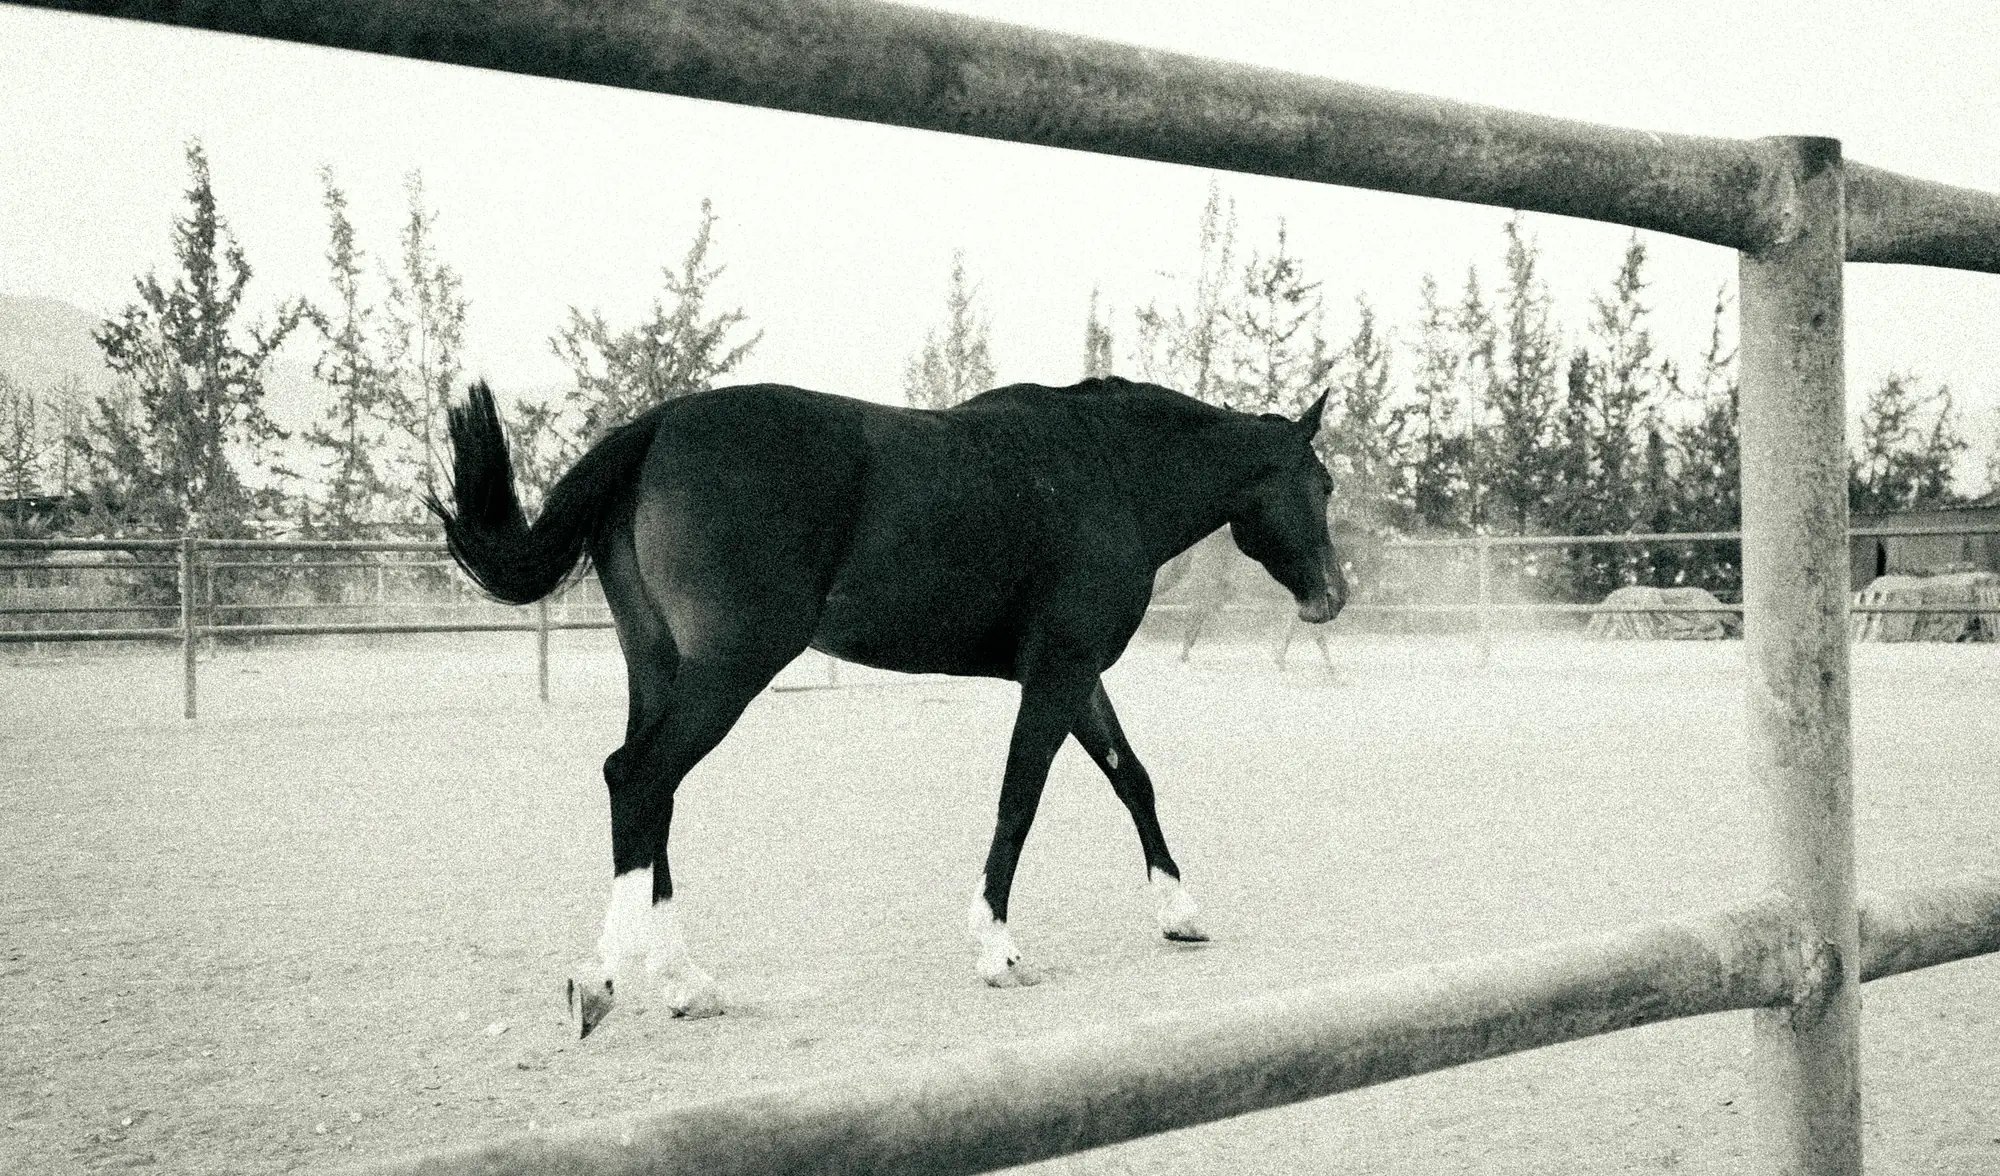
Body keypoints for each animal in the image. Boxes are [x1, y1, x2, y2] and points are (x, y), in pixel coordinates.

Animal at [427, 374, 1346, 1037]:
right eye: (1323, 484)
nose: (1333, 595)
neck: (1103, 471)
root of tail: (660, 427)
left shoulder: (1078, 676)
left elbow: (1133, 778)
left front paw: (1179, 912)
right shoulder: (1058, 674)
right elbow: (1020, 798)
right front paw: (998, 950)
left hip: (659, 668)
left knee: (649, 796)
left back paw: (683, 982)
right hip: (729, 670)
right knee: (641, 777)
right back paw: (610, 983)